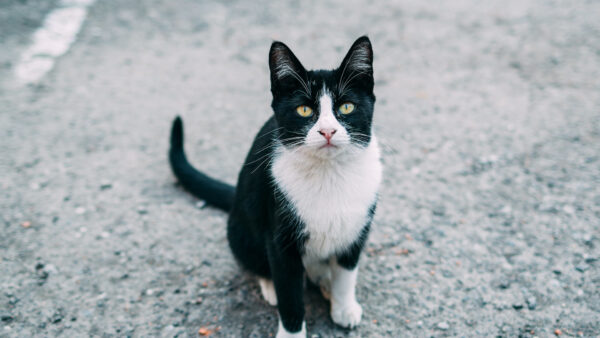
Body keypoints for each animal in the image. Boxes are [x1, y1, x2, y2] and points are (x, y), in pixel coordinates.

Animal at [169, 35, 382, 336]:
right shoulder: (281, 240)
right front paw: (291, 330)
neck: (328, 174)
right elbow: (290, 294)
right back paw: (271, 285)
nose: (328, 131)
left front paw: (344, 307)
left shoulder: (357, 230)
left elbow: (346, 272)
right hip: (242, 228)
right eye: (304, 110)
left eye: (346, 107)